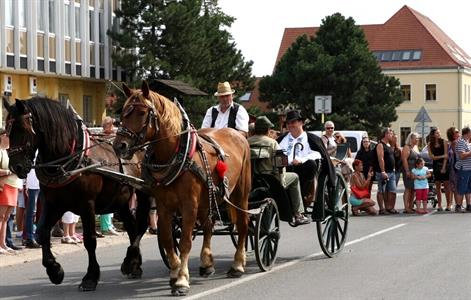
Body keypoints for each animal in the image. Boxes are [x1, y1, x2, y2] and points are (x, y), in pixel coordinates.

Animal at [3, 97, 151, 292]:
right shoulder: (54, 204)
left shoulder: (86, 204)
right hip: (121, 200)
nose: (16, 167)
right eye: (7, 130)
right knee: (132, 226)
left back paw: (132, 262)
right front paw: (54, 270)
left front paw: (90, 277)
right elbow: (42, 232)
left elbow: (90, 239)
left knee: (140, 225)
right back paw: (133, 263)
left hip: (141, 193)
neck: (68, 160)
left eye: (24, 129)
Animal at [113, 81, 253, 296]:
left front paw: (181, 280)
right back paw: (207, 264)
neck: (175, 153)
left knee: (243, 224)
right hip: (207, 198)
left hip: (240, 192)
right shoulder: (164, 206)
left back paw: (238, 265)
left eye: (142, 113)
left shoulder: (188, 205)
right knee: (208, 224)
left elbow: (185, 241)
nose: (119, 145)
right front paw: (175, 270)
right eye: (123, 112)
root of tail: (237, 134)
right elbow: (167, 239)